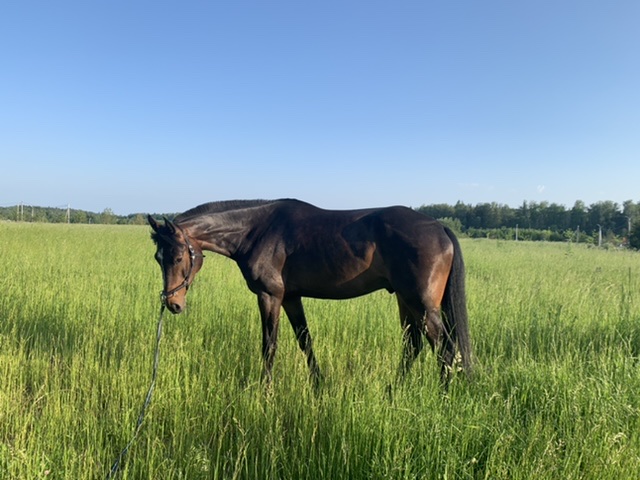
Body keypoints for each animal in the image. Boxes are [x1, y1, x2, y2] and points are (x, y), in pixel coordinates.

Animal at [147, 199, 471, 387]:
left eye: (178, 257)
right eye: (157, 258)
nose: (172, 303)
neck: (256, 230)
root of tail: (440, 228)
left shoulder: (270, 296)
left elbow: (269, 345)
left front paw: (265, 390)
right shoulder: (291, 298)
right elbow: (305, 341)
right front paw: (318, 385)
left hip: (422, 303)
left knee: (445, 349)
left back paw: (443, 395)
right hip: (406, 301)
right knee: (413, 345)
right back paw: (394, 390)